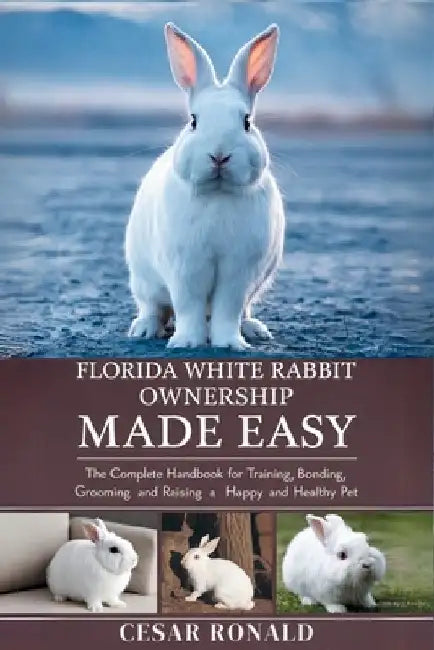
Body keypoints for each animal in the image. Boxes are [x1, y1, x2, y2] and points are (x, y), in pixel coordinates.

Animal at [125, 22, 285, 350]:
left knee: (241, 311)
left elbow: (228, 309)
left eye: (247, 122)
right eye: (193, 121)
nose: (219, 155)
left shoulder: (238, 272)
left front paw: (230, 343)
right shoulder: (186, 267)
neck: (218, 193)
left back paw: (253, 330)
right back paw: (144, 329)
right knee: (153, 307)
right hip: (143, 280)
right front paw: (187, 342)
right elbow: (188, 306)